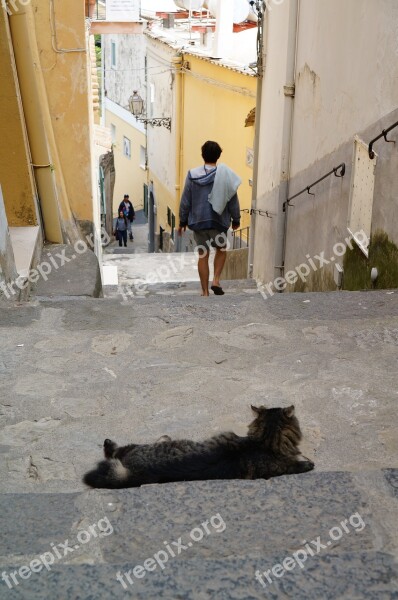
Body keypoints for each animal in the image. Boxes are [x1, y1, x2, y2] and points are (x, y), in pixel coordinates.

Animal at [83, 406, 314, 490]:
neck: (264, 442)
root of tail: (134, 474)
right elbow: (300, 465)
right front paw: (306, 462)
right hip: (136, 447)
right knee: (115, 450)